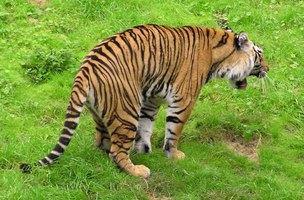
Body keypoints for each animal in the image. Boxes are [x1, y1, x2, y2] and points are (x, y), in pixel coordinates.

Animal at [20, 23, 268, 178]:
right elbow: (174, 130)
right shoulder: (183, 99)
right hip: (126, 109)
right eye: (260, 54)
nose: (268, 68)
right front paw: (173, 155)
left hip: (101, 111)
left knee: (102, 142)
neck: (219, 55)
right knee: (117, 152)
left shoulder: (151, 98)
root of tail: (85, 69)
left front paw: (144, 148)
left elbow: (146, 125)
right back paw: (138, 171)